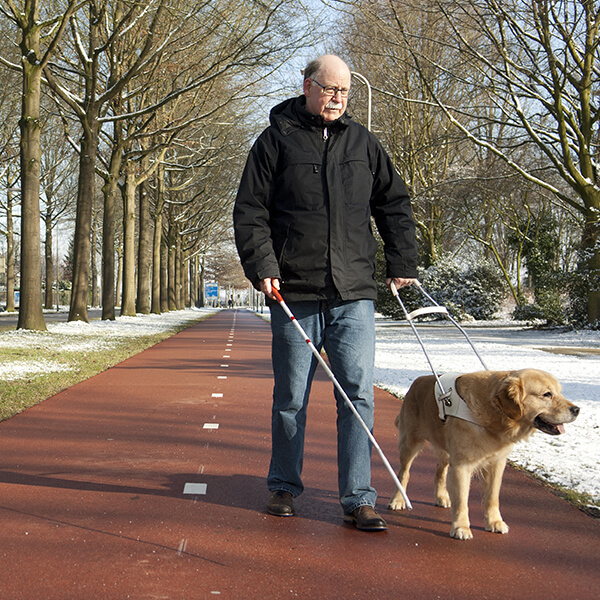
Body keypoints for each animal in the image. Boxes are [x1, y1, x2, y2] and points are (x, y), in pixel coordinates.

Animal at [386, 368, 580, 540]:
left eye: (559, 392)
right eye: (547, 394)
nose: (577, 410)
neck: (494, 411)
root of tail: (418, 380)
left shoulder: (496, 463)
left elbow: (492, 497)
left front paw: (495, 522)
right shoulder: (462, 465)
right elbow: (462, 501)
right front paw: (461, 527)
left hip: (445, 450)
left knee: (440, 471)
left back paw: (441, 496)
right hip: (410, 444)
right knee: (403, 474)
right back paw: (398, 500)